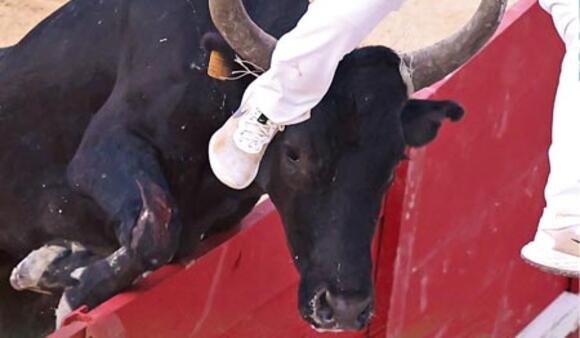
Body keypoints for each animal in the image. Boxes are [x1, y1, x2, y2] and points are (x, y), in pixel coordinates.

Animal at [0, 0, 502, 334]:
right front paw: (65, 285)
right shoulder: (105, 148)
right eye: (295, 152)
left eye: (395, 162)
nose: (343, 308)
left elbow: (166, 242)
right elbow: (156, 227)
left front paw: (59, 269)